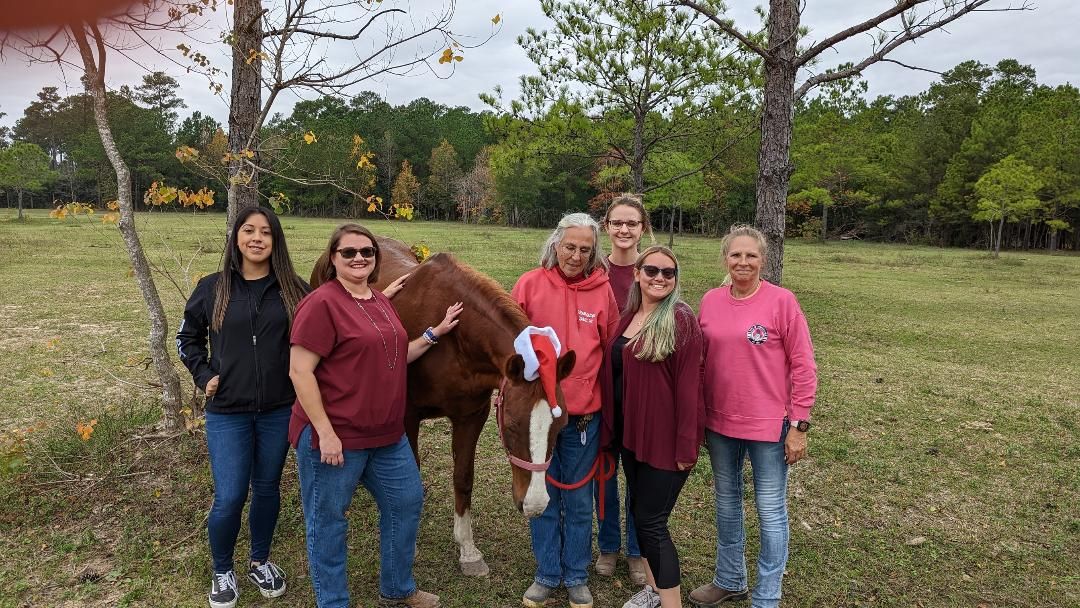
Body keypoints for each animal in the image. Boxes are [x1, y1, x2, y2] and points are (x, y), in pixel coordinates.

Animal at [310, 236, 575, 576]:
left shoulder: (471, 416)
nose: (535, 505)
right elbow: (408, 481)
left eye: (562, 424)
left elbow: (463, 478)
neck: (457, 339)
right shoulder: (407, 416)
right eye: (513, 425)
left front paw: (468, 550)